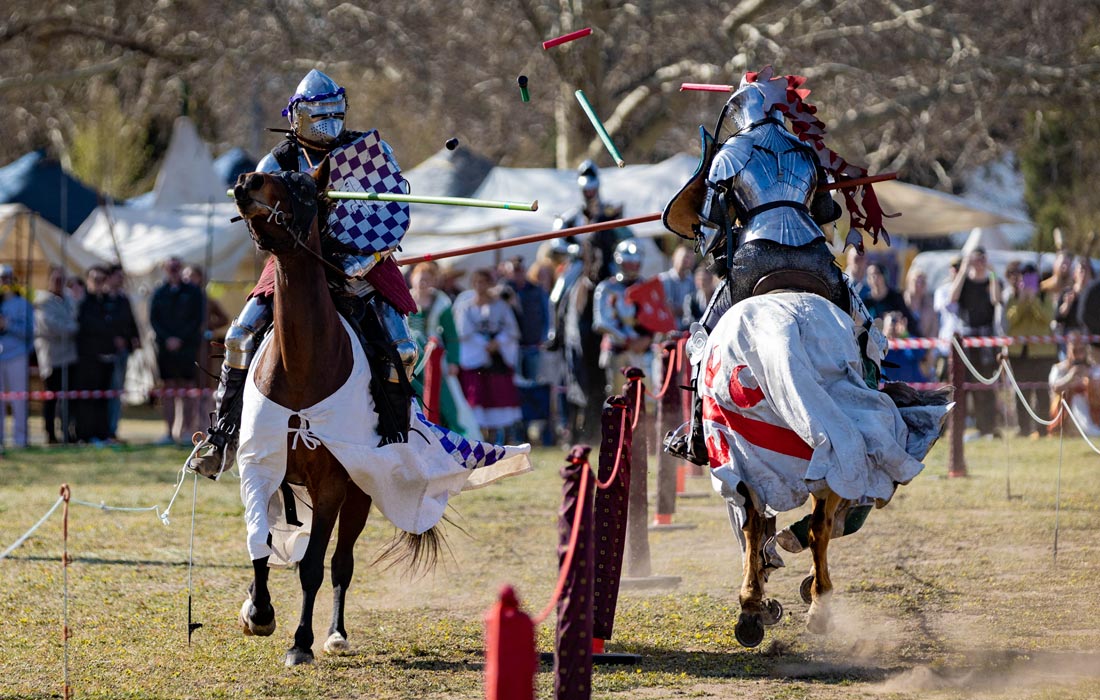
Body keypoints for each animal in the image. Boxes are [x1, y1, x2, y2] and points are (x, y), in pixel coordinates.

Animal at [229, 161, 431, 664]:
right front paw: (258, 611)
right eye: (269, 171)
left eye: (304, 188)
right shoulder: (258, 466)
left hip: (359, 492)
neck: (303, 364)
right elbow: (259, 543)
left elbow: (314, 566)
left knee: (341, 562)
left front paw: (300, 641)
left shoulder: (333, 486)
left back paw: (335, 633)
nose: (246, 182)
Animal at [699, 288, 950, 647]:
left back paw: (751, 609)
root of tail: (775, 334)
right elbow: (835, 522)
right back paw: (818, 605)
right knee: (819, 527)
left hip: (742, 456)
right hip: (830, 454)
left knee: (752, 525)